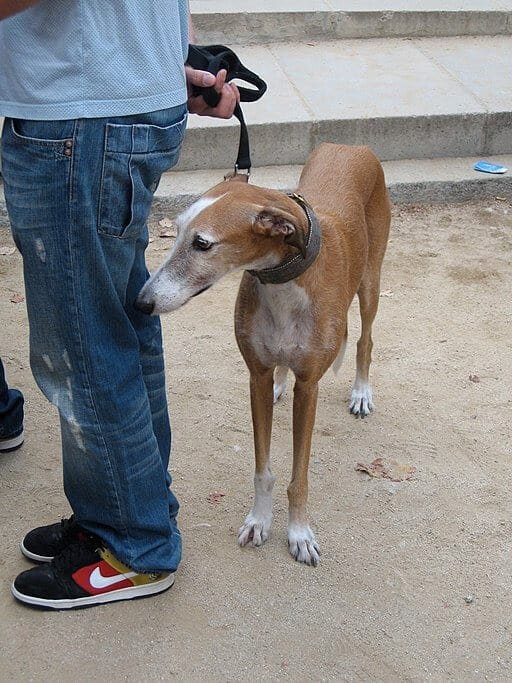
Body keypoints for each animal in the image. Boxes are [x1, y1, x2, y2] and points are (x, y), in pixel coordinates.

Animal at [136, 143, 392, 568]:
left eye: (202, 243)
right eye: (178, 231)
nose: (140, 303)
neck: (284, 283)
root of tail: (351, 147)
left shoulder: (309, 386)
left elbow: (299, 476)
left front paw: (300, 533)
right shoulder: (255, 376)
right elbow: (263, 469)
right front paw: (259, 521)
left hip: (371, 282)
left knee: (365, 340)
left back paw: (361, 393)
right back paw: (279, 385)